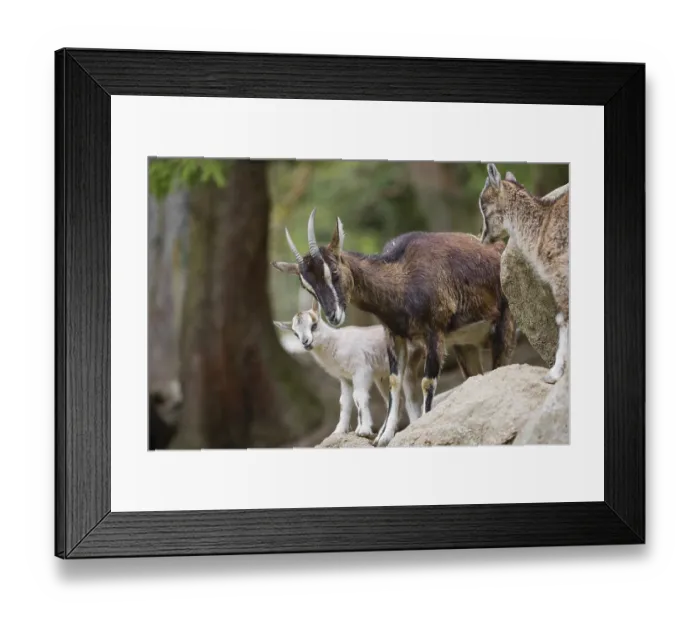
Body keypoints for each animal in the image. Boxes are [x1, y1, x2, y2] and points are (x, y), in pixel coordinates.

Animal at [271, 210, 516, 447]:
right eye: (308, 287)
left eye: (334, 271)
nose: (333, 315)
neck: (403, 278)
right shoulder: (394, 335)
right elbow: (394, 382)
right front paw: (383, 437)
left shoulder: (434, 331)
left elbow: (427, 382)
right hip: (465, 344)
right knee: (476, 376)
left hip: (504, 326)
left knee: (501, 366)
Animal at [478, 163, 569, 384]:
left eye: (483, 205)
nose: (483, 238)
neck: (541, 228)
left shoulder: (560, 274)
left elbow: (562, 318)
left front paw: (554, 374)